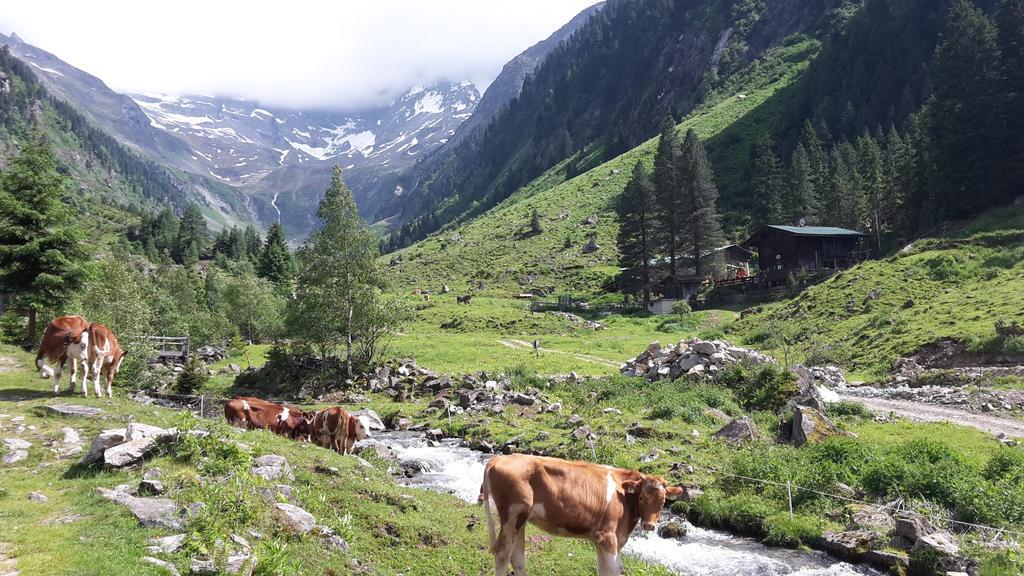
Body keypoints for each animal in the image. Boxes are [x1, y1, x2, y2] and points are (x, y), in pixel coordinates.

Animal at [477, 453, 679, 573]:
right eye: (642, 498)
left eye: (663, 501)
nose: (649, 525)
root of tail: (499, 458)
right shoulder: (606, 536)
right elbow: (616, 570)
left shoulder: (601, 540)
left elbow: (603, 569)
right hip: (512, 514)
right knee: (502, 554)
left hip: (521, 518)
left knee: (517, 556)